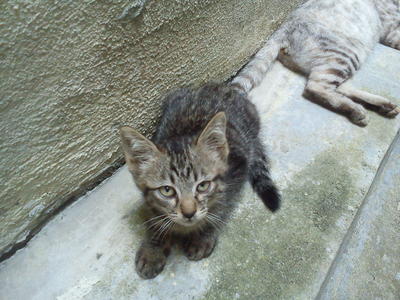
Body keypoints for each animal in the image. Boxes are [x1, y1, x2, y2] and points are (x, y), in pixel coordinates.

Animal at [120, 82, 280, 278]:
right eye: (167, 190)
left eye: (203, 186)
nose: (189, 213)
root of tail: (222, 86)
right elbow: (154, 217)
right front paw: (153, 248)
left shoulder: (237, 170)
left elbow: (221, 207)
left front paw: (203, 235)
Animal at [231, 0, 400, 126]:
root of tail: (282, 29)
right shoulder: (392, 27)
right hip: (347, 54)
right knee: (315, 87)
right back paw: (357, 111)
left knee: (339, 87)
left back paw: (384, 105)